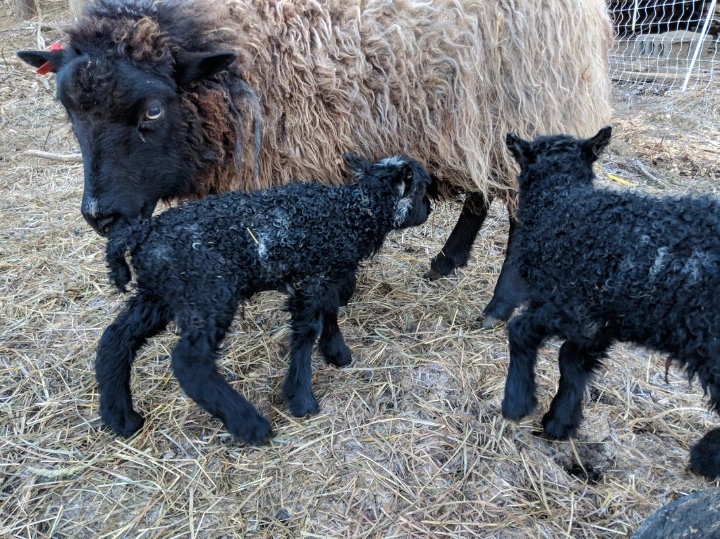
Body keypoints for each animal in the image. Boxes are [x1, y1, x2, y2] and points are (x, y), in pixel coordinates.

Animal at [16, 0, 613, 327]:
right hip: (467, 122)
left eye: (153, 110)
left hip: (524, 105)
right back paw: (447, 260)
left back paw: (497, 305)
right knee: (480, 190)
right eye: (68, 109)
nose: (99, 215)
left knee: (519, 213)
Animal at [96, 153, 432, 444]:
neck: (351, 213)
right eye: (421, 192)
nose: (428, 210)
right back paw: (249, 424)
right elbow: (307, 332)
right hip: (208, 293)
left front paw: (336, 353)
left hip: (160, 294)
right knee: (189, 362)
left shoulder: (325, 272)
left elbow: (330, 311)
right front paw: (302, 399)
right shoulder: (310, 280)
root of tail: (141, 234)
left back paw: (121, 418)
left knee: (117, 338)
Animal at [500, 126, 720, 479]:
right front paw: (560, 422)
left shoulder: (568, 302)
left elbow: (520, 331)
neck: (562, 206)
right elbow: (572, 362)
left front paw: (517, 403)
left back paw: (706, 457)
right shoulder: (599, 321)